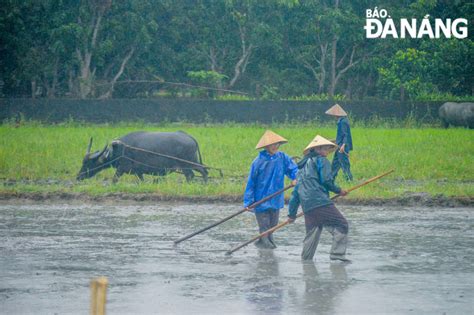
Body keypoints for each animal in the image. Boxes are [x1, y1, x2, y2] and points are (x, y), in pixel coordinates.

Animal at [77, 131, 208, 183]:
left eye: (88, 163)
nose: (78, 177)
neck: (119, 150)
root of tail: (189, 136)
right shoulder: (138, 171)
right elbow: (141, 180)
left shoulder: (122, 168)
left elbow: (114, 179)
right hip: (192, 162)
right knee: (202, 171)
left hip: (187, 164)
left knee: (196, 174)